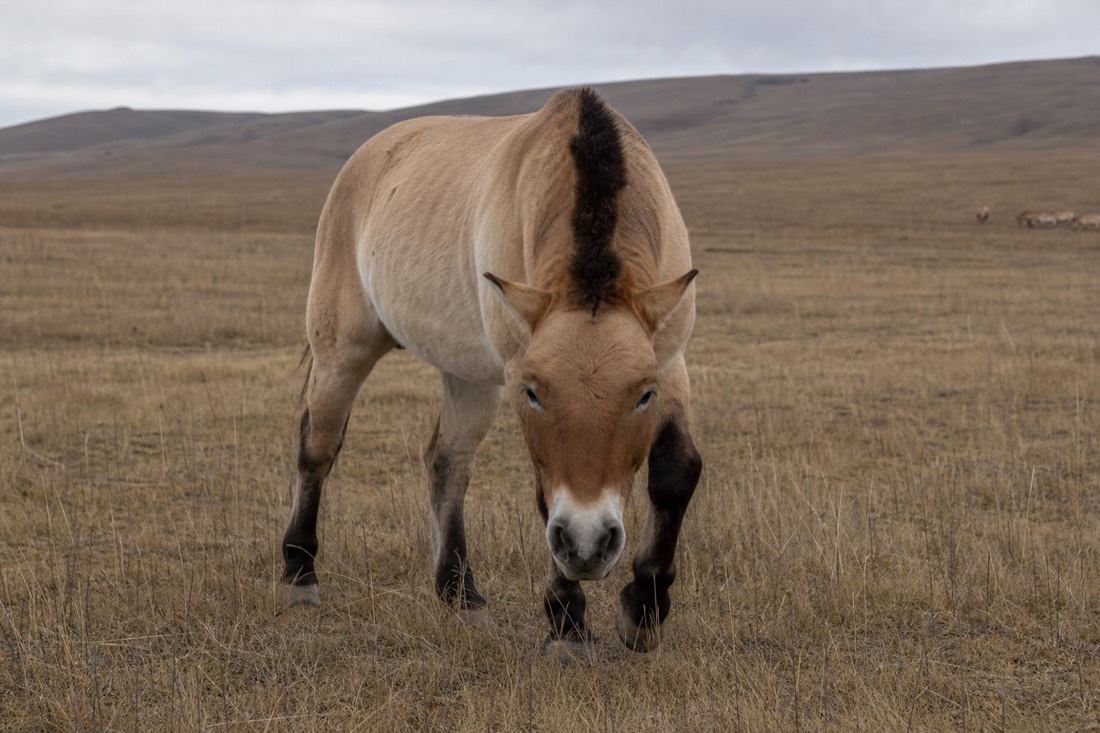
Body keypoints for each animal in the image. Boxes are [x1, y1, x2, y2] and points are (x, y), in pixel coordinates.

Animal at [281, 88, 702, 661]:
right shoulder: (518, 372)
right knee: (317, 449)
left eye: (643, 395)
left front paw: (643, 610)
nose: (588, 543)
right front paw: (567, 625)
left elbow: (677, 469)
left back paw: (460, 593)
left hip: (467, 375)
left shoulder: (669, 357)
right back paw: (300, 571)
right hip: (341, 352)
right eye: (533, 393)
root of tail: (369, 155)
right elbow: (546, 494)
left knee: (447, 463)